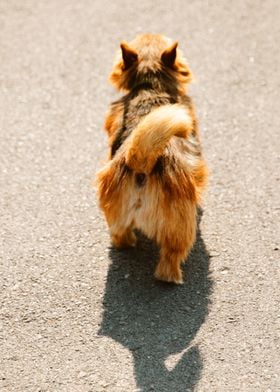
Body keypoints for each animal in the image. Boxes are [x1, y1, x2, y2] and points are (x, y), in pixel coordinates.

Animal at [97, 33, 208, 284]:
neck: (151, 87)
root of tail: (141, 161)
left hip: (115, 210)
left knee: (120, 235)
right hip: (179, 228)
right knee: (170, 257)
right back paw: (171, 277)